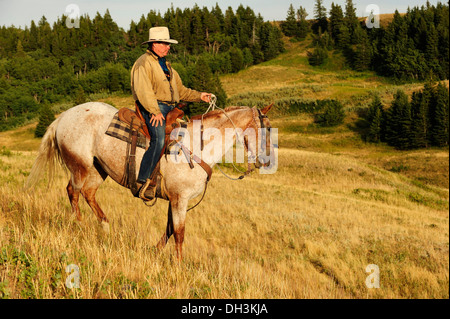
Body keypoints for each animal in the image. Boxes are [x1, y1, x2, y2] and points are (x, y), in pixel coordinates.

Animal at [26, 102, 276, 262]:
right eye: (266, 128)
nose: (265, 161)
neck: (198, 146)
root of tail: (64, 116)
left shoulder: (174, 200)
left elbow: (169, 229)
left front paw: (155, 252)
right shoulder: (180, 199)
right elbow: (179, 233)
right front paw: (179, 266)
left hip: (98, 169)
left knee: (88, 194)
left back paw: (105, 227)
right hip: (80, 166)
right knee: (73, 191)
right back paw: (79, 225)